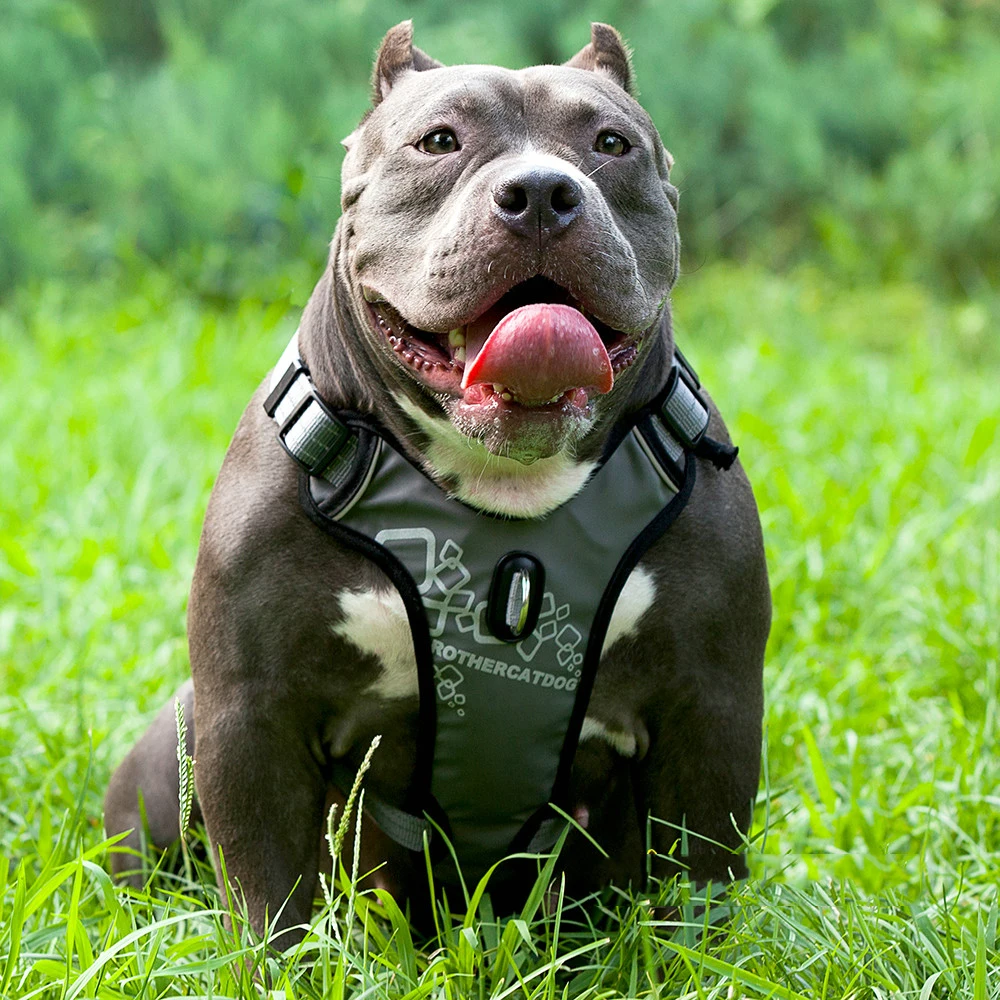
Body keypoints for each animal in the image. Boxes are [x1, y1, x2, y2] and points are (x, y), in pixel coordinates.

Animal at [105, 23, 768, 944]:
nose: (540, 193)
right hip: (178, 740)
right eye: (439, 142)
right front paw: (277, 964)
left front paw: (698, 963)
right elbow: (271, 900)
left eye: (612, 145)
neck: (506, 488)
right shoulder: (249, 718)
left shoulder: (711, 711)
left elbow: (699, 889)